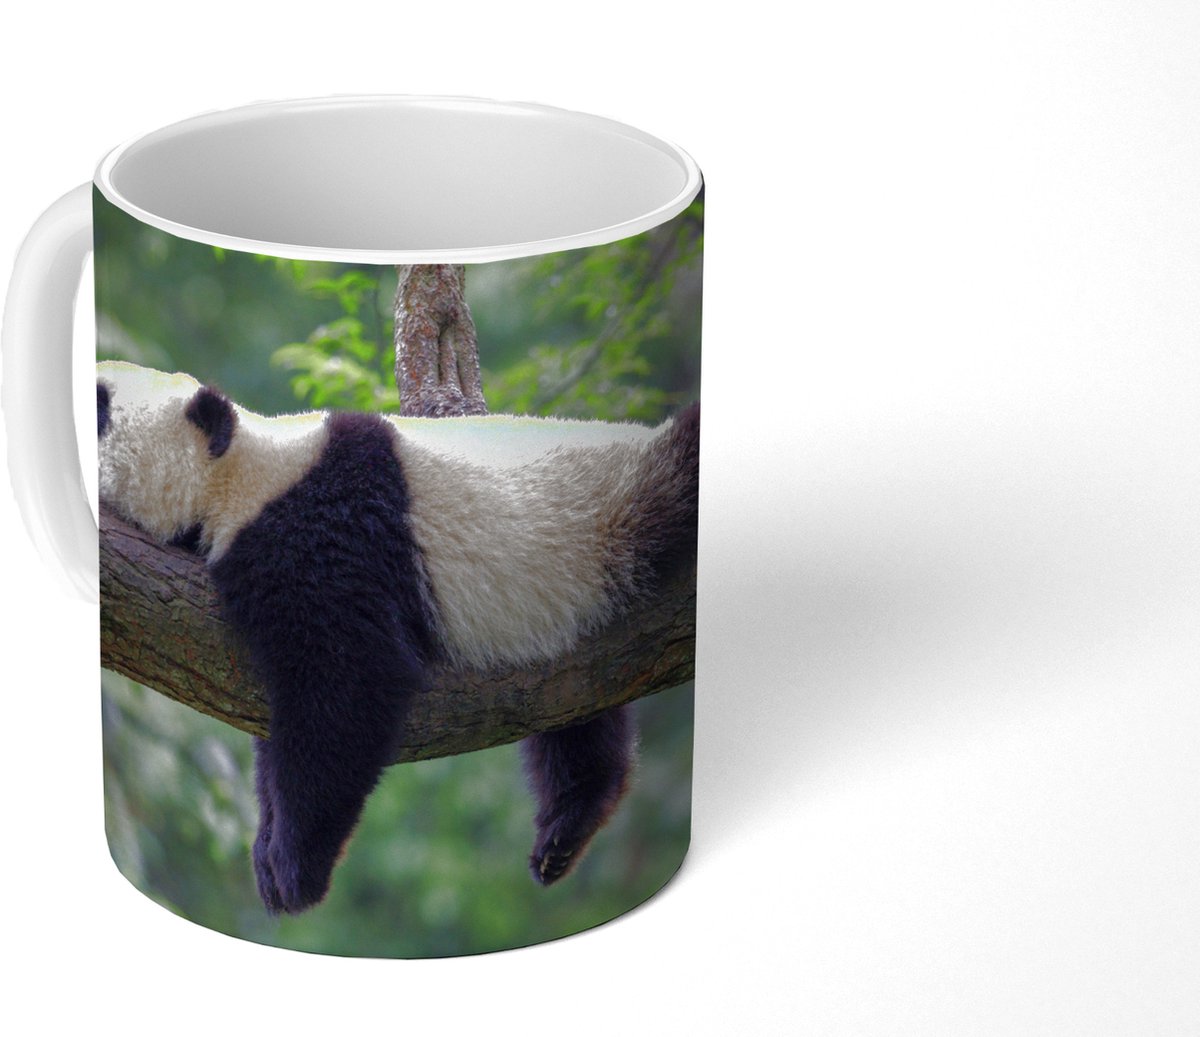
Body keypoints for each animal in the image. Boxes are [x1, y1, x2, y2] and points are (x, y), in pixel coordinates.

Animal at [96, 360, 699, 915]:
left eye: (99, 405)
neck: (239, 472)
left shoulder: (323, 532)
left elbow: (348, 685)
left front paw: (295, 867)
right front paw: (268, 853)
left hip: (622, 507)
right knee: (579, 709)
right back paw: (567, 828)